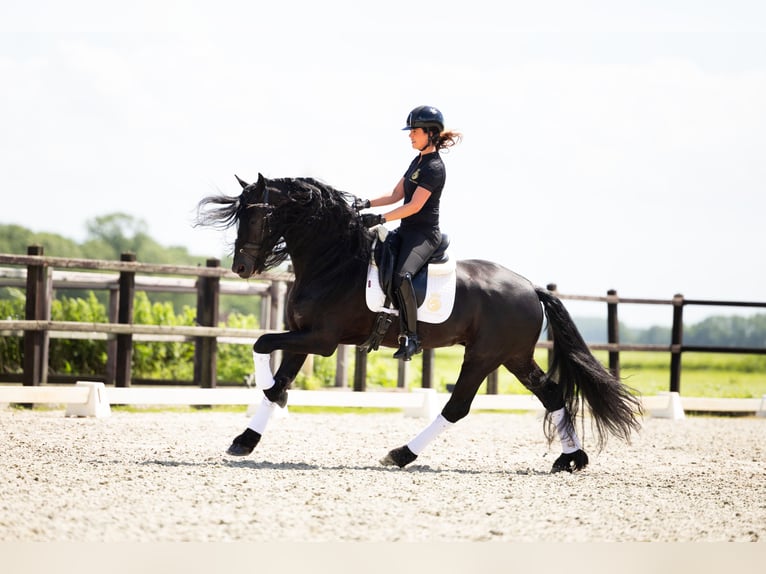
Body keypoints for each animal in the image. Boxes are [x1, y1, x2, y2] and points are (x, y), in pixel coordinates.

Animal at [196, 174, 640, 472]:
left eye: (257, 216)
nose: (241, 268)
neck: (334, 262)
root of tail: (530, 287)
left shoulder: (320, 339)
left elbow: (262, 347)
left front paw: (267, 395)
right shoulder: (303, 336)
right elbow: (276, 378)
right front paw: (246, 439)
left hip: (484, 356)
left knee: (458, 406)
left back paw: (401, 454)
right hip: (514, 357)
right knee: (550, 394)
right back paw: (572, 459)